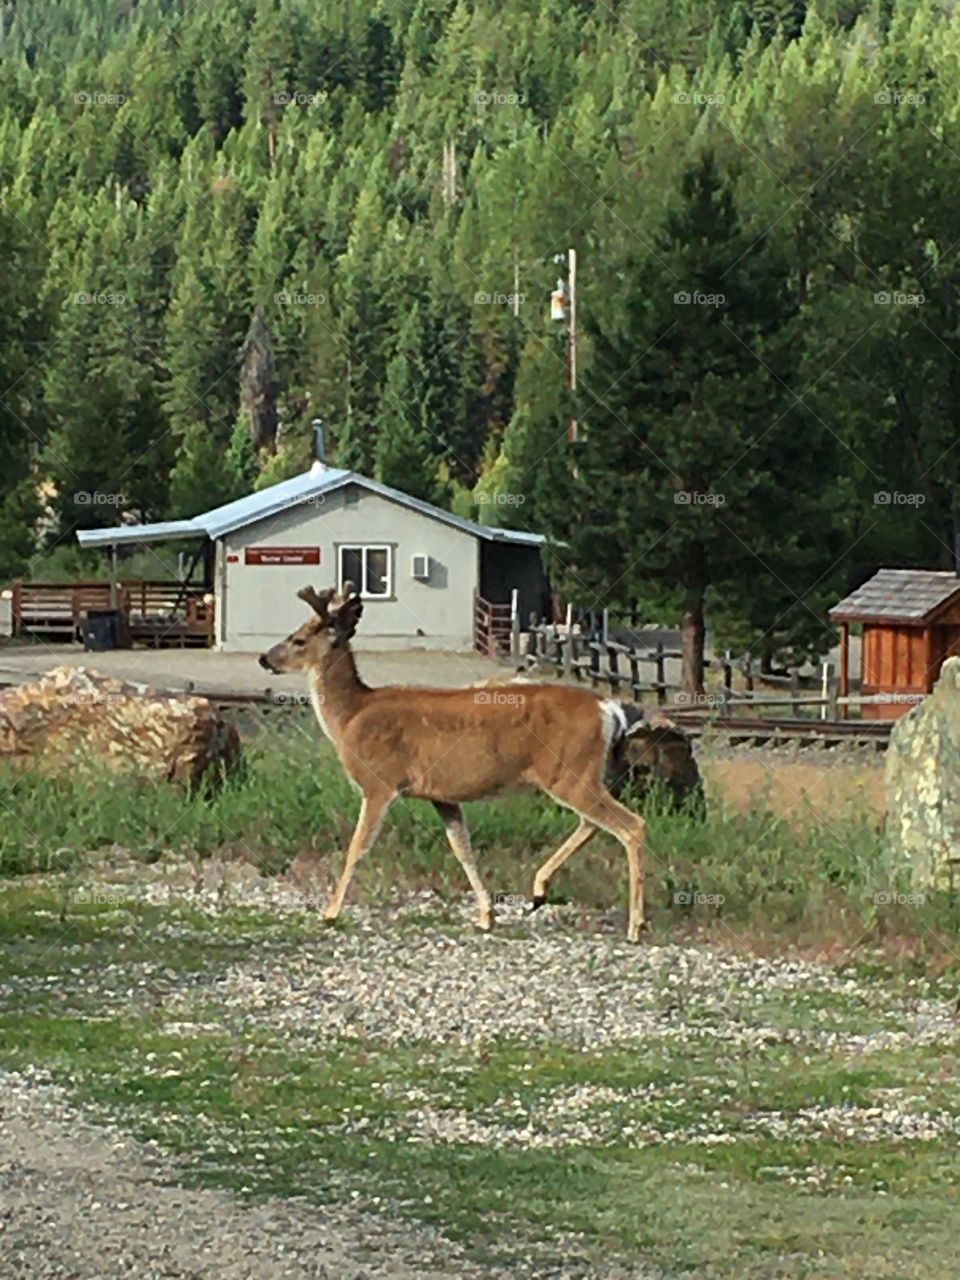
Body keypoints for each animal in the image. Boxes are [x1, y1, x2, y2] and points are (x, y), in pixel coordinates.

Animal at [259, 583, 649, 941]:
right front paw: (486, 915)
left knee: (631, 825)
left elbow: (358, 847)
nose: (264, 658)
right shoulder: (441, 795)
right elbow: (463, 849)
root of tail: (609, 710)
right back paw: (539, 890)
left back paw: (635, 926)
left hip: (570, 772)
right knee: (594, 823)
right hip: (578, 775)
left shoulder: (380, 782)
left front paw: (330, 912)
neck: (350, 717)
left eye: (298, 639)